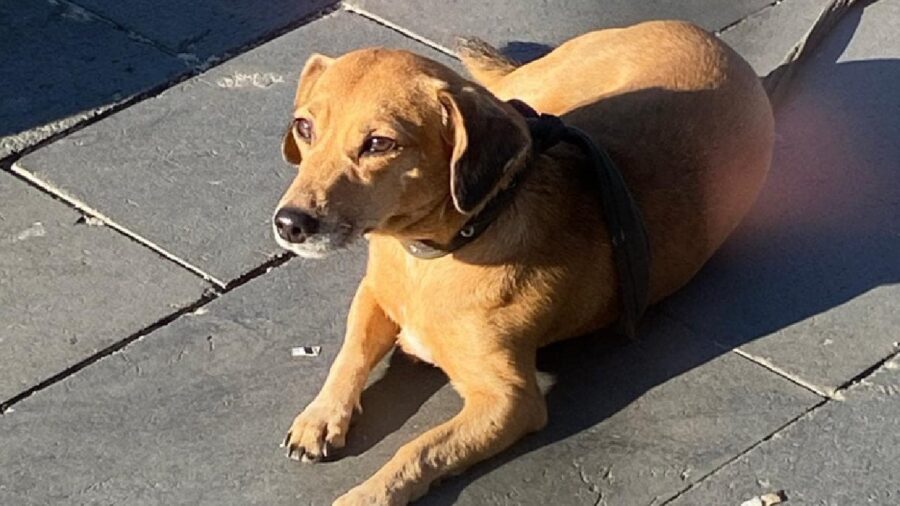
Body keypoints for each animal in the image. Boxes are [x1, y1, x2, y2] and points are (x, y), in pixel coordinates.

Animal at [272, 20, 772, 506]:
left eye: (379, 143)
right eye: (304, 128)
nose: (289, 223)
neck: (434, 252)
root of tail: (706, 37)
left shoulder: (509, 401)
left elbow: (420, 449)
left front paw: (366, 493)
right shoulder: (373, 295)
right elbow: (350, 354)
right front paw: (321, 417)